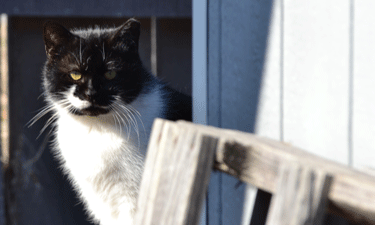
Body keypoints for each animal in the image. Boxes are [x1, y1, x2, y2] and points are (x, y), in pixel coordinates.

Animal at [35, 18, 191, 224]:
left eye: (110, 74)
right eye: (75, 74)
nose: (91, 93)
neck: (98, 130)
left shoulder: (134, 200)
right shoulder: (101, 203)